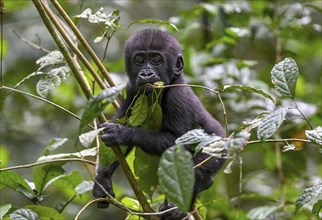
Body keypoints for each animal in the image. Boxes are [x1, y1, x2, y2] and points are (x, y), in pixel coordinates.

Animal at [92, 28, 225, 219]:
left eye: (156, 60)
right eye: (139, 60)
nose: (146, 73)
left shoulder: (178, 95)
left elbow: (178, 142)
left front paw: (123, 133)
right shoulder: (132, 89)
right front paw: (102, 181)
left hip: (218, 149)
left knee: (197, 168)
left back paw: (180, 207)